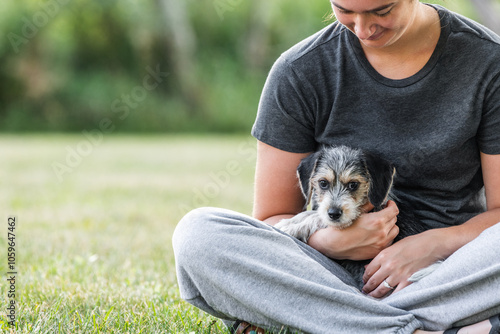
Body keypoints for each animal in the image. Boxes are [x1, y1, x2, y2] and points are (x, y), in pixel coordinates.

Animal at [276, 146, 440, 290]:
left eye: (353, 184)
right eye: (323, 183)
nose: (334, 213)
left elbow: (319, 218)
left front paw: (292, 227)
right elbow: (313, 213)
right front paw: (289, 221)